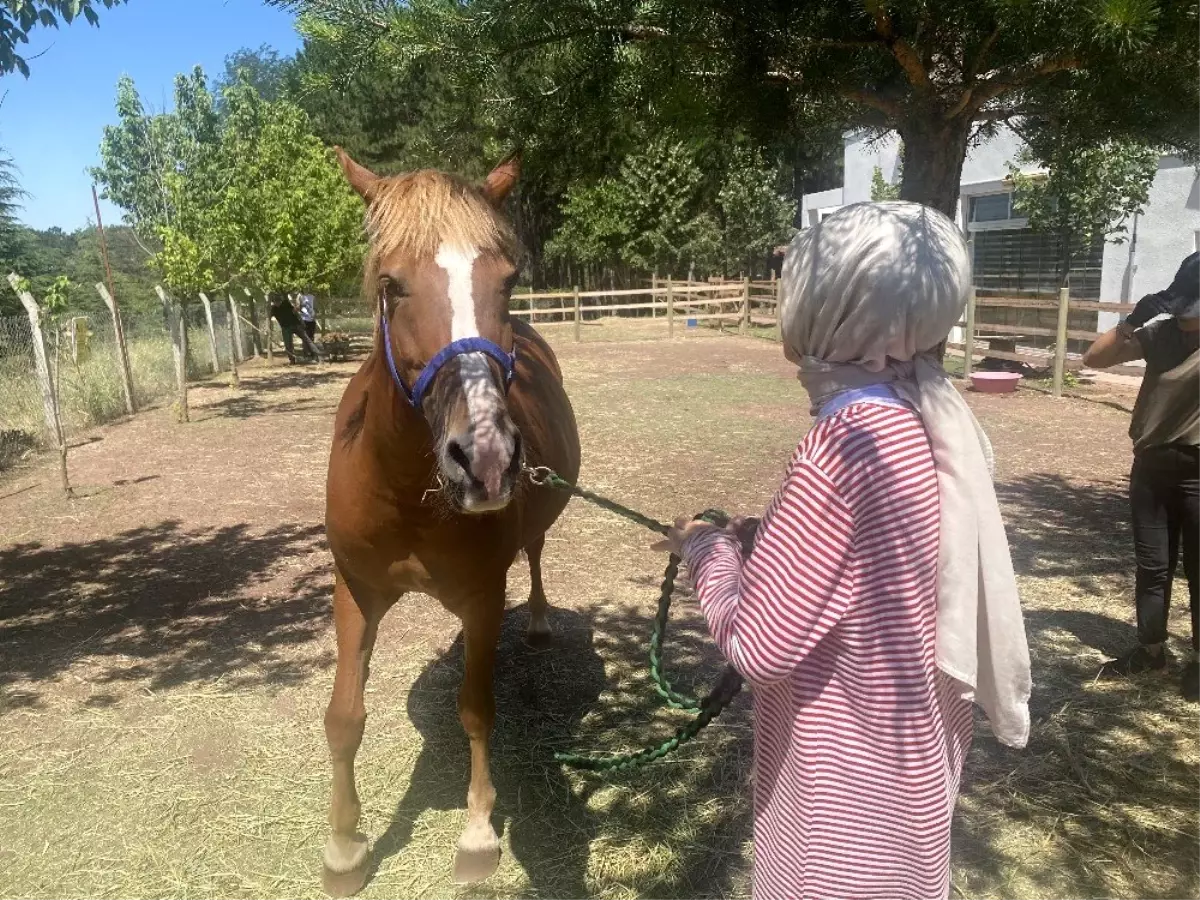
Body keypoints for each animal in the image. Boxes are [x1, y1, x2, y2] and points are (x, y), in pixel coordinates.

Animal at [319, 148, 580, 897]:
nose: (486, 459)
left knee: (537, 552)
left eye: (509, 280)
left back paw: (542, 622)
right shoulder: (354, 591)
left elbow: (476, 710)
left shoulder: (483, 596)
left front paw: (478, 835)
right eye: (391, 284)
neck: (409, 492)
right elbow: (344, 717)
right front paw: (344, 848)